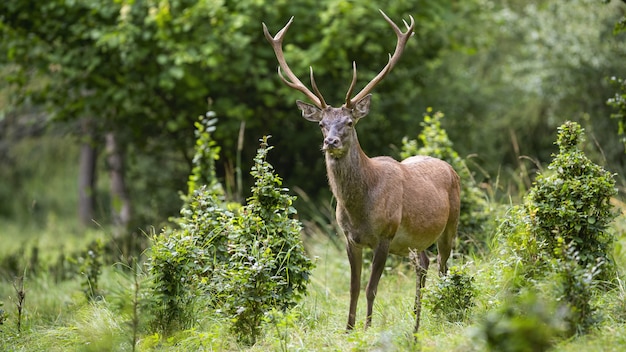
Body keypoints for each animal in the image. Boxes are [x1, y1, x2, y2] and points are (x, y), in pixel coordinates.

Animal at [260, 9, 460, 334]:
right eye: (321, 124)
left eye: (349, 122)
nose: (331, 142)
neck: (360, 209)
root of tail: (449, 167)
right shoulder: (348, 237)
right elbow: (353, 288)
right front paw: (348, 329)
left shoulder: (385, 234)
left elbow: (371, 288)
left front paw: (366, 329)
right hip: (414, 241)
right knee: (424, 263)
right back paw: (416, 318)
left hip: (450, 224)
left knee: (444, 266)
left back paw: (444, 311)